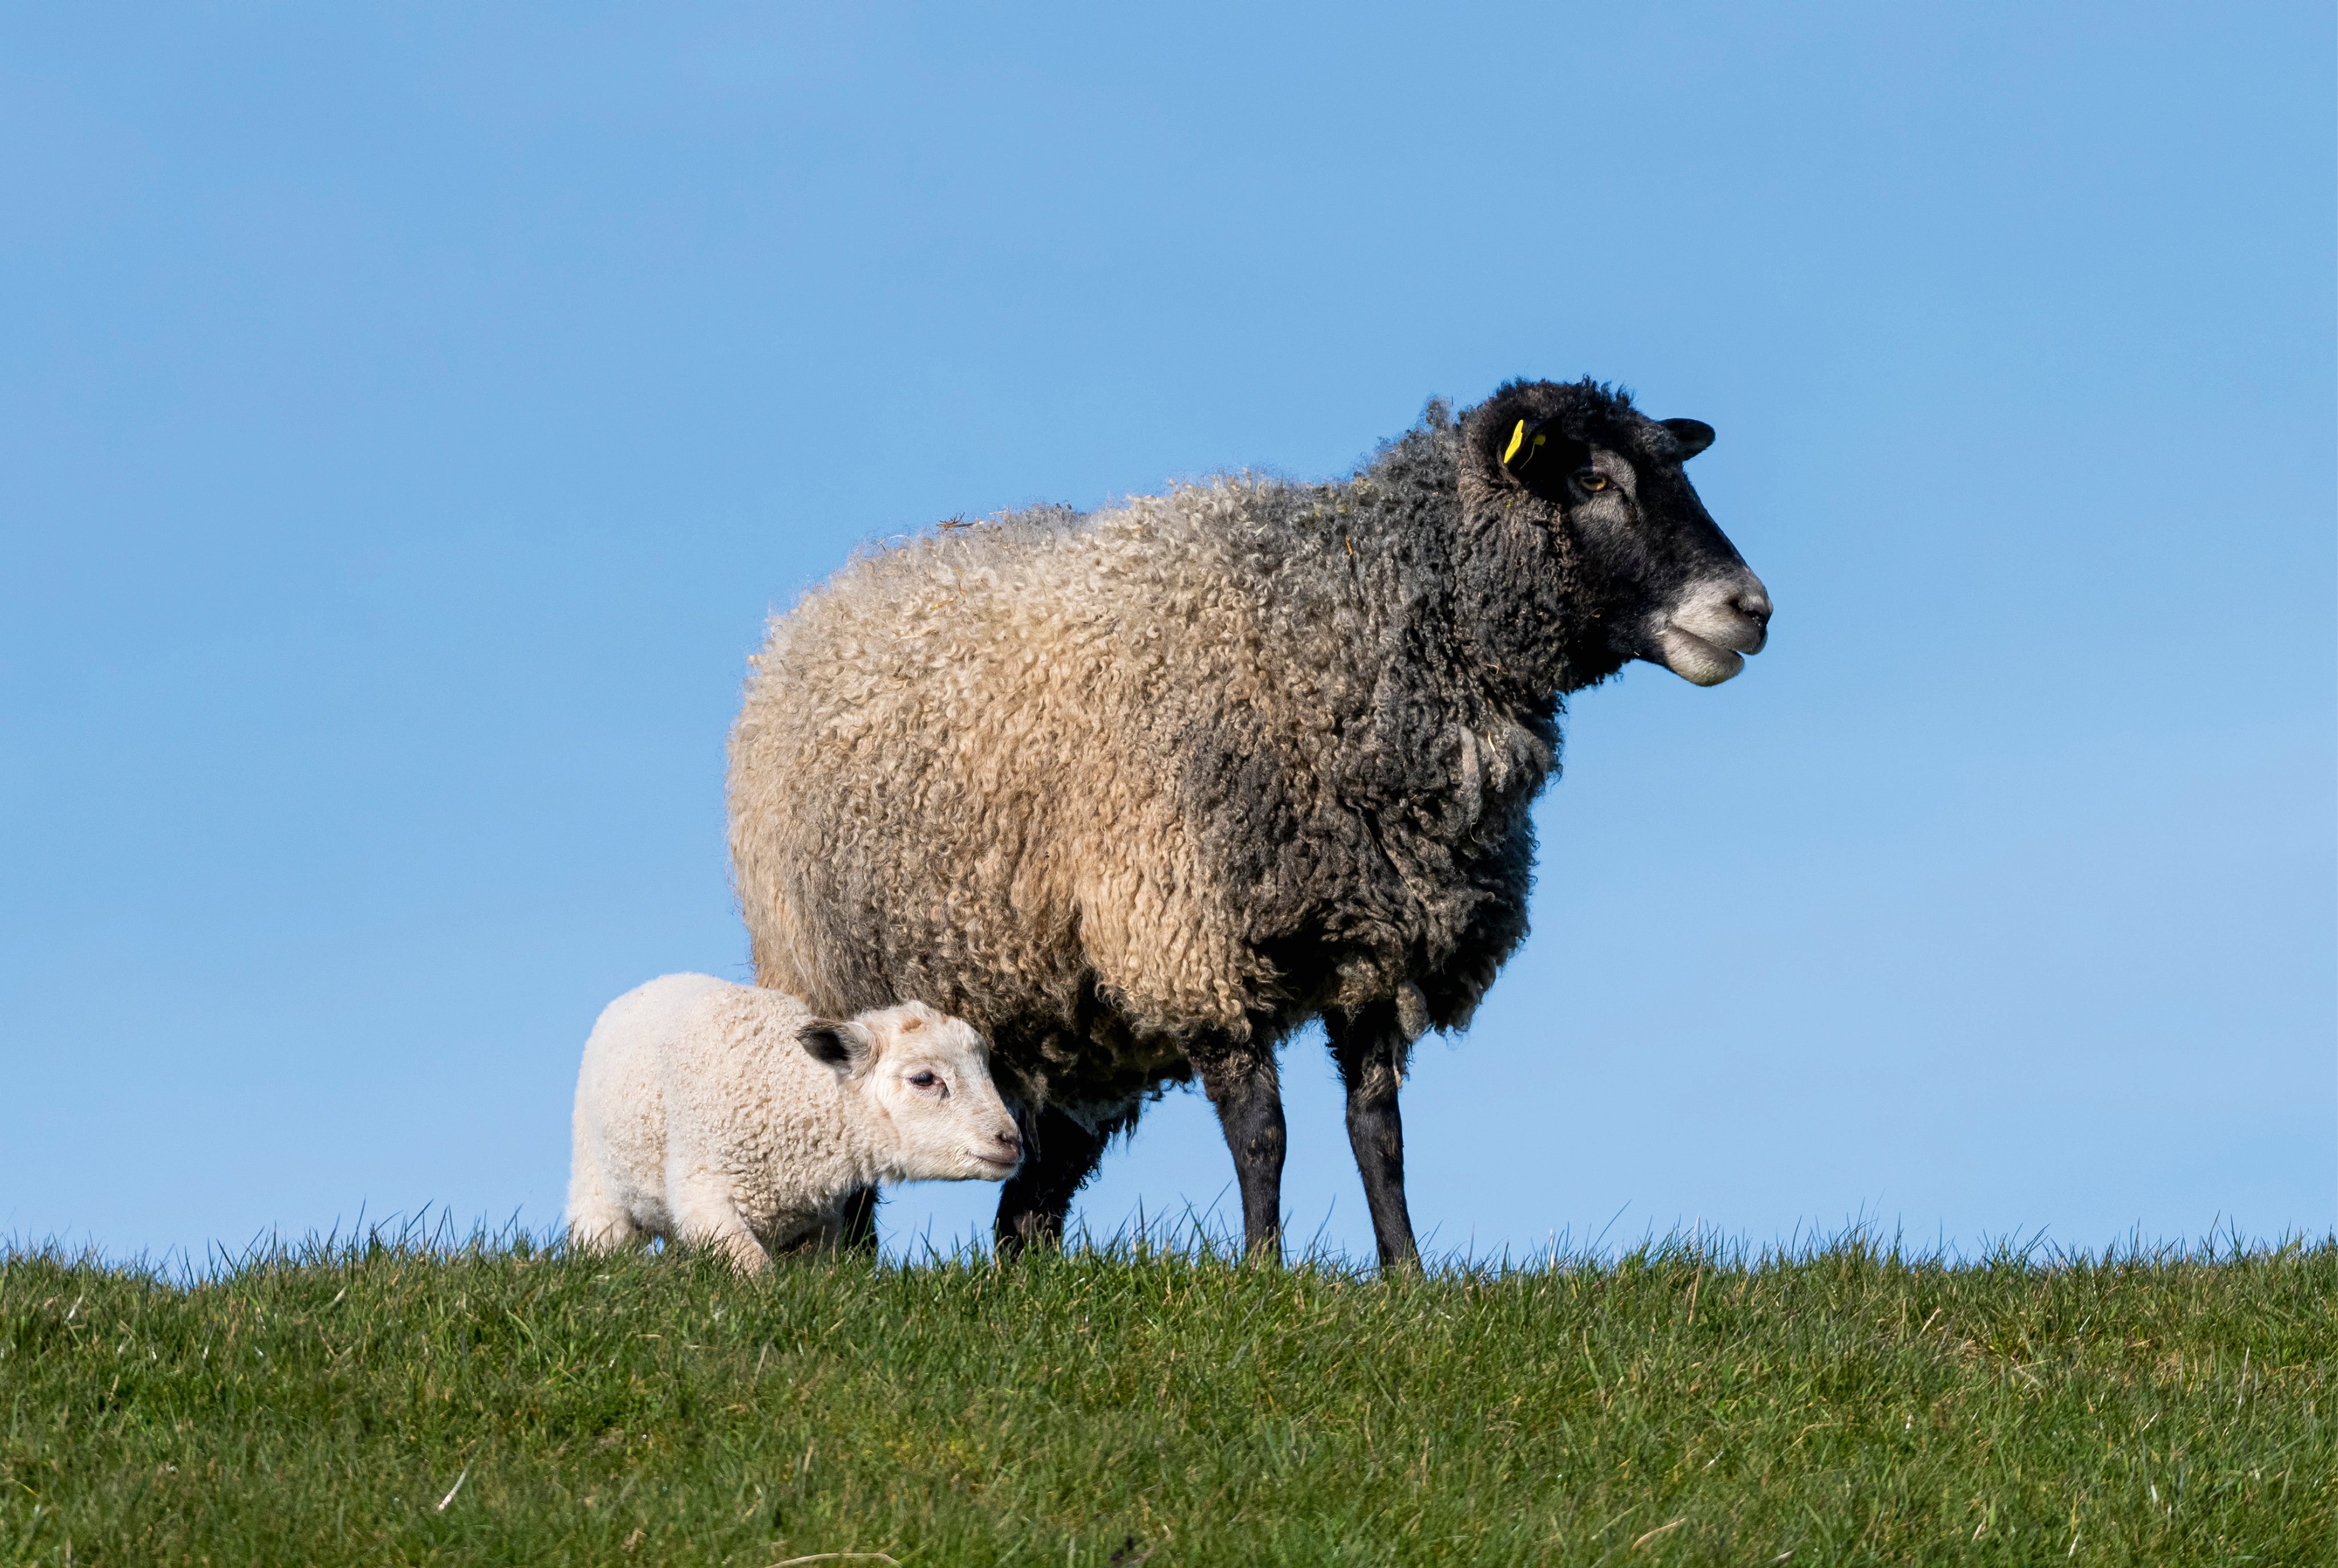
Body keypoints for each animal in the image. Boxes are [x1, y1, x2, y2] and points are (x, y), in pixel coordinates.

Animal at [567, 974, 1023, 1272]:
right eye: (925, 1079)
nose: (1012, 1141)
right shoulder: (706, 1199)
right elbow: (755, 1272)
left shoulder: (823, 1225)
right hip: (595, 1185)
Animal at [728, 378, 1771, 1268]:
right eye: (1594, 481)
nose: (1752, 608)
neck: (1345, 627)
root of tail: (818, 606)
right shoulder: (1191, 941)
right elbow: (1263, 1131)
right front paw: (1264, 1272)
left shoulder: (1372, 948)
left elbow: (1378, 1132)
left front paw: (1405, 1275)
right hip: (834, 974)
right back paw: (849, 1274)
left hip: (1073, 1027)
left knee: (1035, 1185)